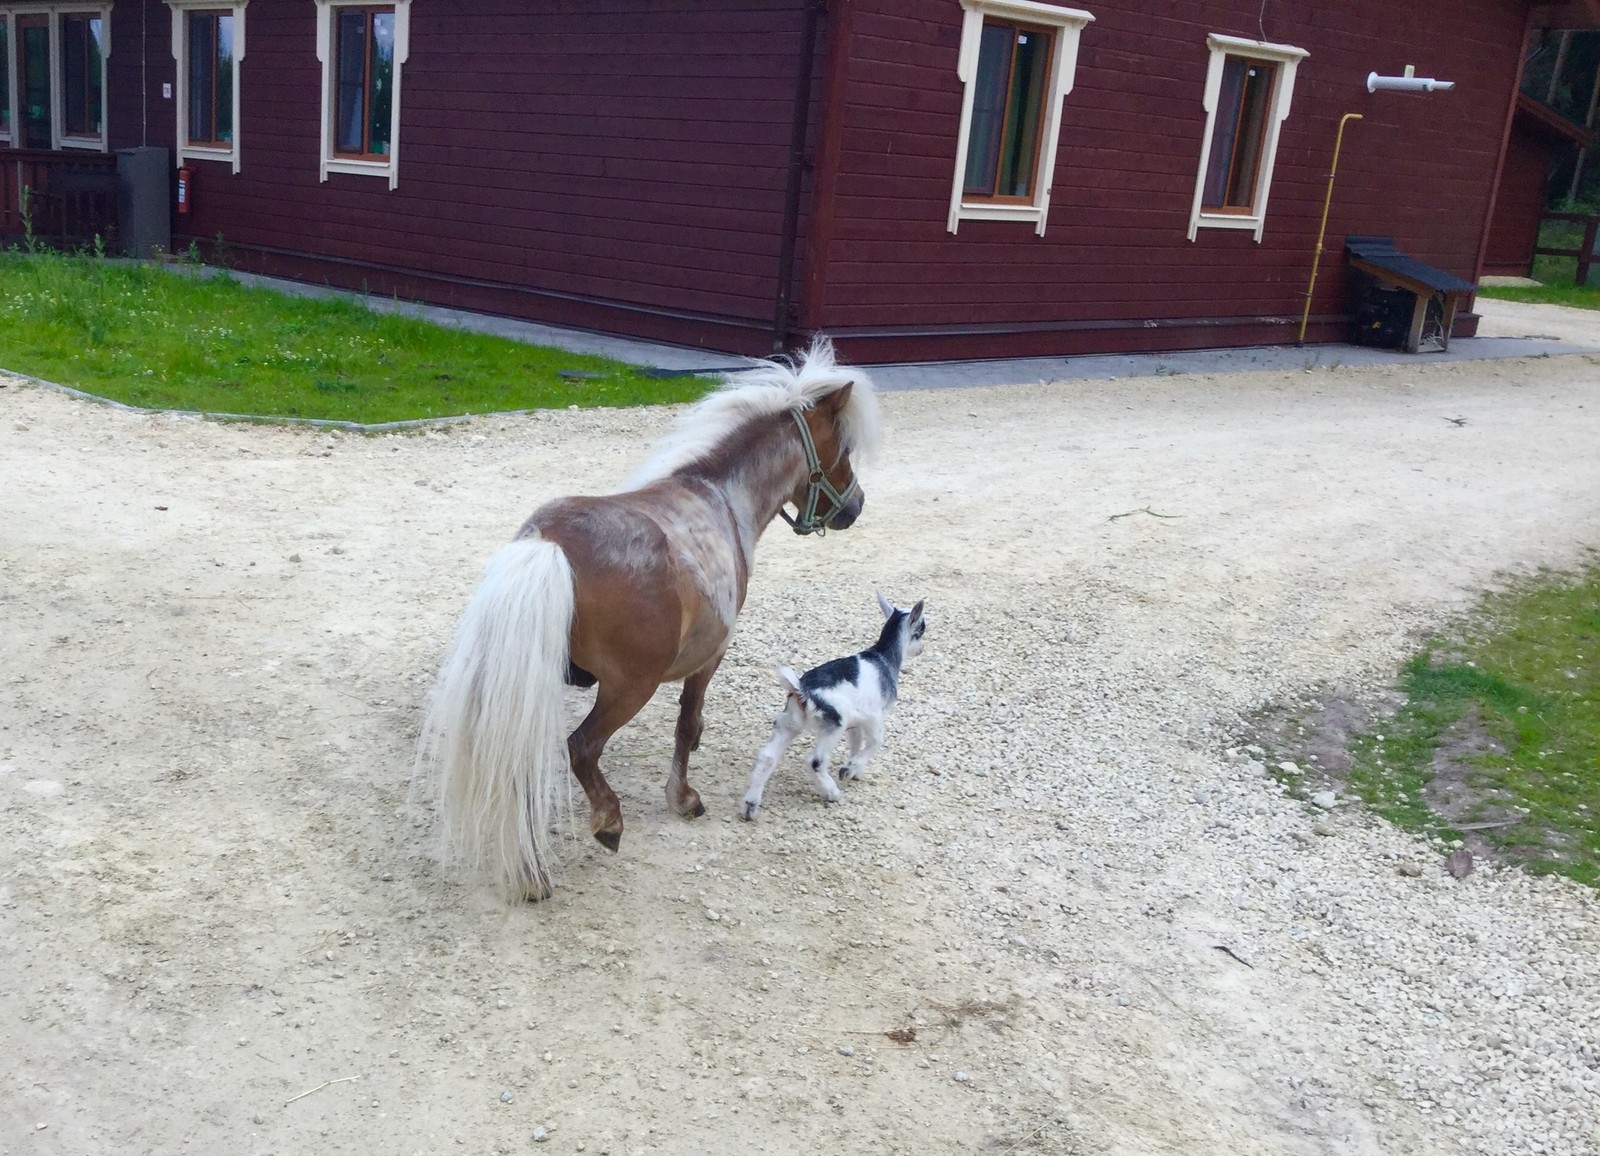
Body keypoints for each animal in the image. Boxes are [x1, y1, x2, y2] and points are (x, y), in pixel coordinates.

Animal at [419, 337, 883, 896]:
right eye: (845, 449)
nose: (856, 506)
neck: (721, 497)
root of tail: (548, 544)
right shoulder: (709, 659)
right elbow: (687, 724)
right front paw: (682, 798)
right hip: (627, 689)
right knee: (581, 748)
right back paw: (607, 822)